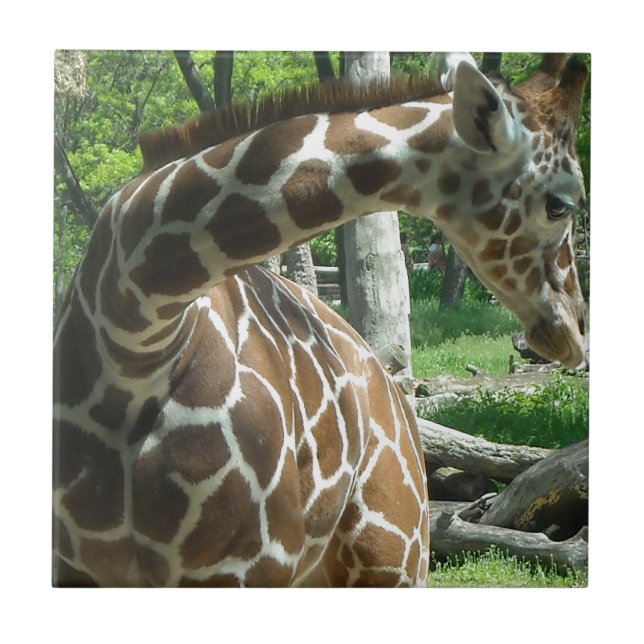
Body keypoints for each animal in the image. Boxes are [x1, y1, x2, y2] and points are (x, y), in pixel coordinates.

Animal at [53, 52, 588, 587]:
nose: (574, 331)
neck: (134, 333)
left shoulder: (245, 565)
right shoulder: (76, 569)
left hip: (397, 556)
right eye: (559, 205)